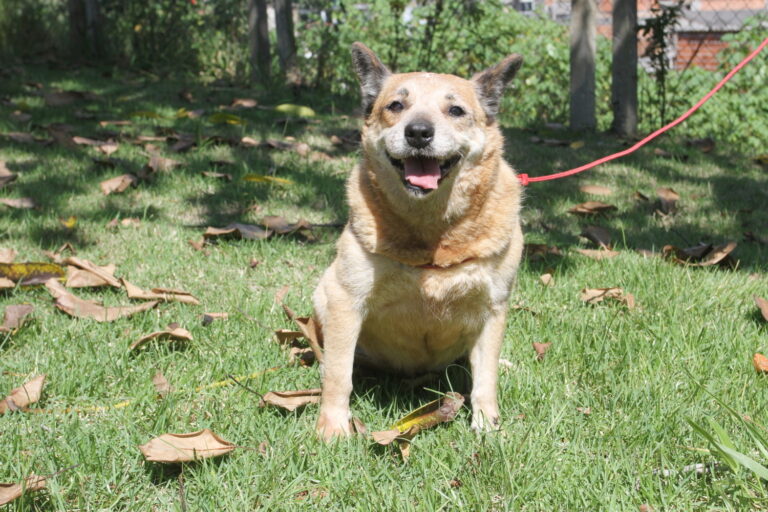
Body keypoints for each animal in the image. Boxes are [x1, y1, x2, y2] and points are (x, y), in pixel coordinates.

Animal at [310, 42, 520, 440]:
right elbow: (338, 375)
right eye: (396, 105)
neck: (432, 239)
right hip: (322, 293)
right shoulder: (346, 300)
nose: (419, 132)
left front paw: (487, 426)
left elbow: (485, 379)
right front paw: (333, 428)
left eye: (456, 110)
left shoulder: (493, 309)